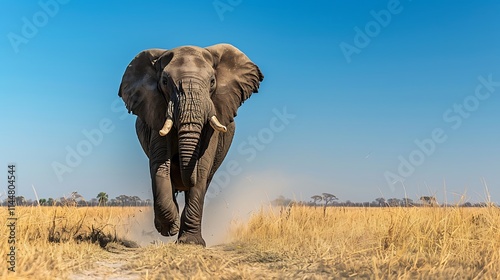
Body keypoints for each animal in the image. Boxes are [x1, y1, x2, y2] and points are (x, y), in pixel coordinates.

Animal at [118, 43, 264, 245]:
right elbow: (160, 164)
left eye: (212, 81)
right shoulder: (156, 112)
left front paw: (190, 242)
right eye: (164, 81)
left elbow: (201, 167)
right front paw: (169, 228)